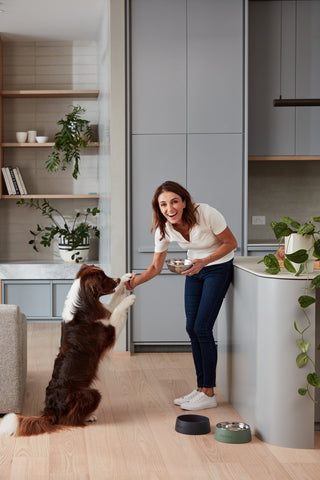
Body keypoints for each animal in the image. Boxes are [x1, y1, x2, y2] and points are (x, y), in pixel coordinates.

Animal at [0, 264, 135, 436]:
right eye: (103, 277)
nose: (117, 279)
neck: (83, 302)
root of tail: (50, 410)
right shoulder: (108, 333)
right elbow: (117, 311)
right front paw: (129, 299)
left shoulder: (102, 311)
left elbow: (113, 302)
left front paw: (126, 279)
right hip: (92, 393)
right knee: (69, 420)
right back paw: (87, 417)